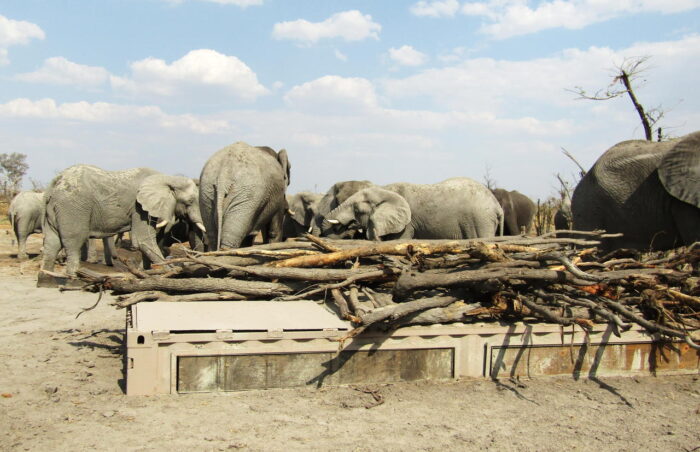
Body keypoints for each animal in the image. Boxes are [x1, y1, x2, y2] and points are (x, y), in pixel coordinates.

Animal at [42, 163, 204, 276]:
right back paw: (73, 279)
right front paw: (172, 270)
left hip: (54, 206)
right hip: (73, 207)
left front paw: (146, 272)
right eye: (189, 201)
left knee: (52, 242)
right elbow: (144, 240)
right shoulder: (139, 207)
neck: (167, 178)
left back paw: (47, 278)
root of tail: (57, 180)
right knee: (74, 241)